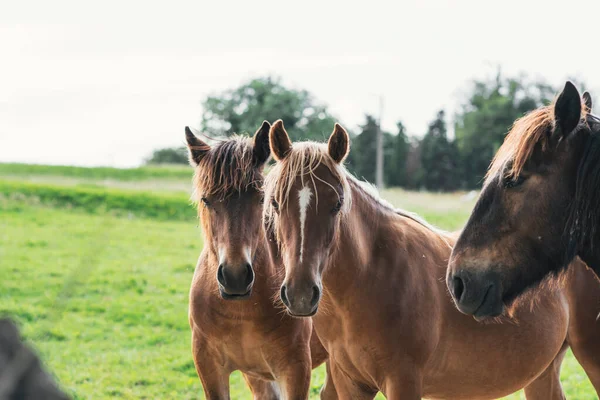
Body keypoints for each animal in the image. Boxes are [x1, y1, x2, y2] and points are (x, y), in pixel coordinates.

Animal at [186, 122, 332, 400]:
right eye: (206, 199)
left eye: (261, 198)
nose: (235, 277)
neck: (241, 313)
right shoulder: (210, 367)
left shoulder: (295, 369)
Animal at [264, 119, 600, 400]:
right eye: (276, 203)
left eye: (336, 204)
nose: (300, 294)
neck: (372, 277)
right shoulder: (350, 384)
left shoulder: (404, 382)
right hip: (543, 372)